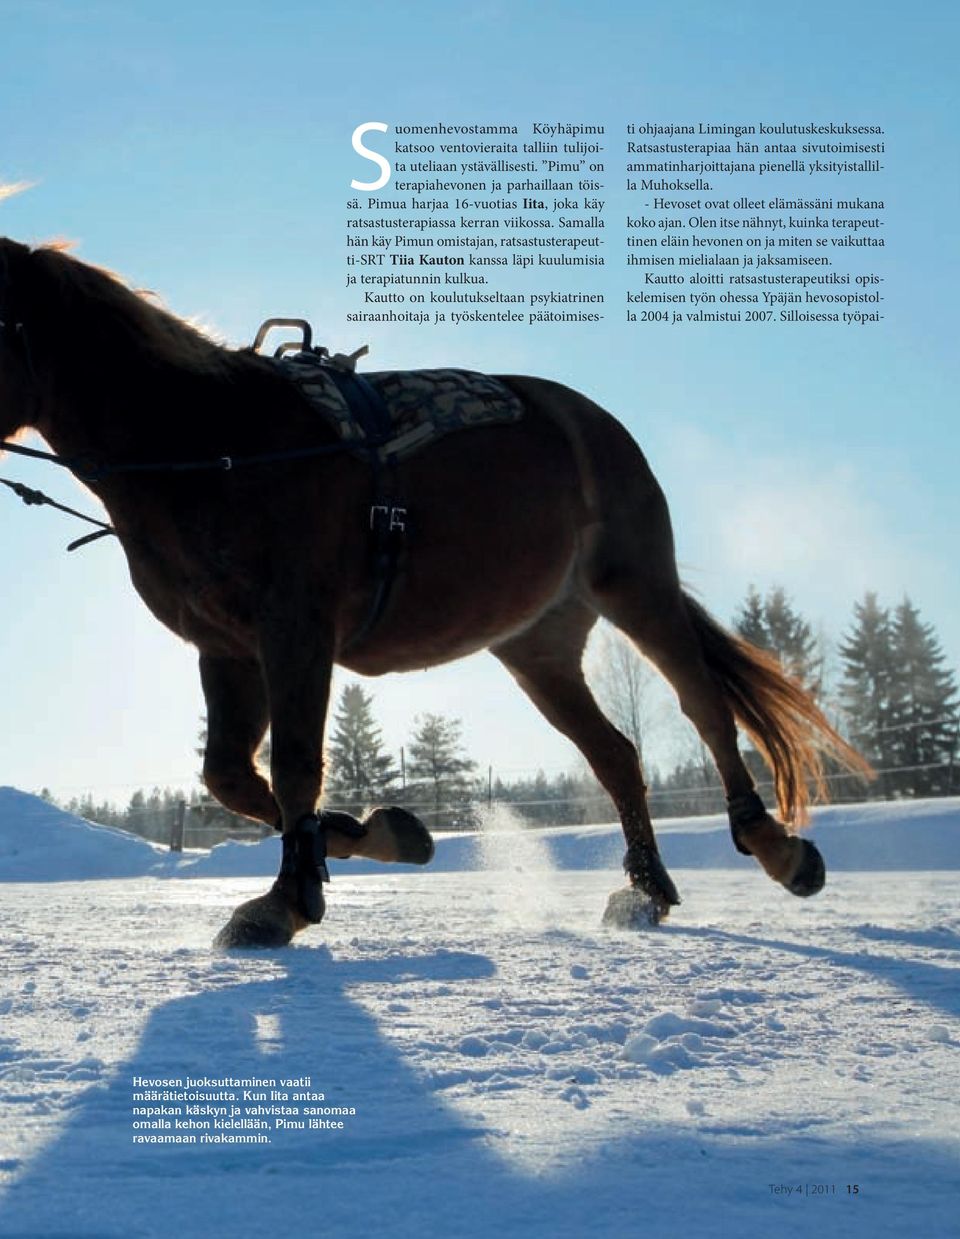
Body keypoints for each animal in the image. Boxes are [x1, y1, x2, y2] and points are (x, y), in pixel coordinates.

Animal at [0, 236, 872, 941]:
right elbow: (234, 777)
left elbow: (294, 768)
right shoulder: (227, 648)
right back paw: (649, 888)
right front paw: (380, 833)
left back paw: (778, 848)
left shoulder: (297, 631)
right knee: (617, 755)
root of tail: (593, 424)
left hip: (636, 588)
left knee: (706, 708)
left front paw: (285, 901)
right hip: (536, 645)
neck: (216, 445)